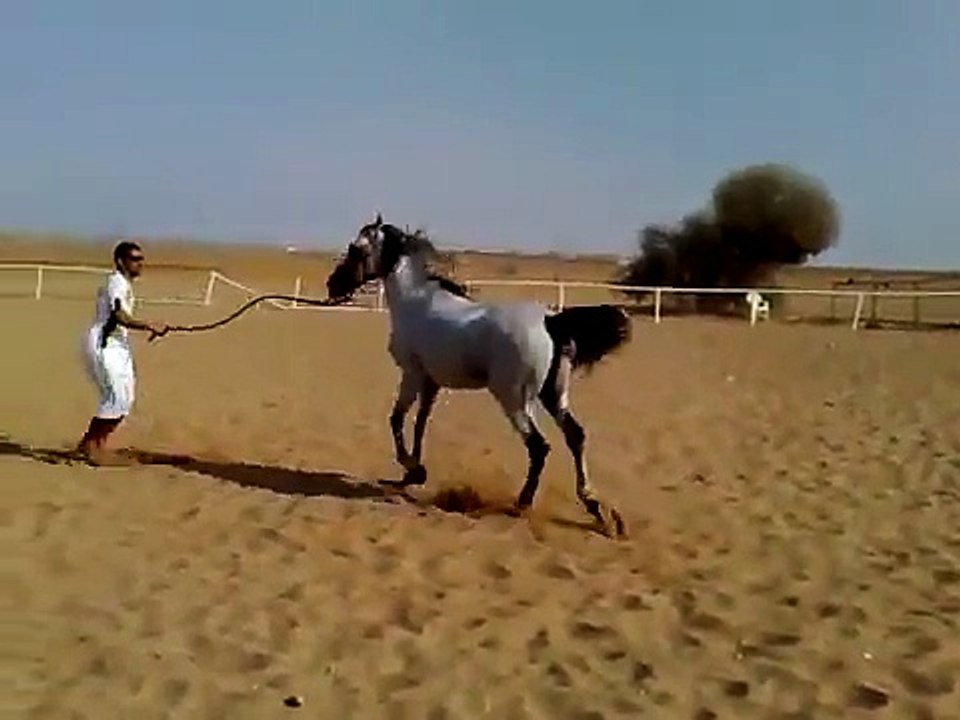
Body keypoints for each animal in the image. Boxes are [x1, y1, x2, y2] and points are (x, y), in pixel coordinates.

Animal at [326, 214, 632, 537]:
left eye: (356, 249)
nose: (333, 285)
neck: (415, 302)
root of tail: (550, 321)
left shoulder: (412, 374)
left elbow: (396, 419)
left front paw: (410, 467)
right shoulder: (432, 382)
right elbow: (421, 422)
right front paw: (415, 474)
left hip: (513, 399)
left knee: (539, 447)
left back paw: (521, 504)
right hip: (553, 395)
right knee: (576, 436)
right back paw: (596, 508)